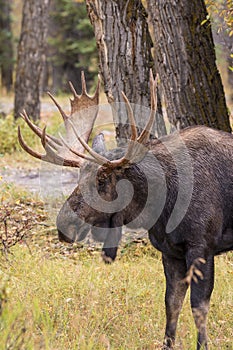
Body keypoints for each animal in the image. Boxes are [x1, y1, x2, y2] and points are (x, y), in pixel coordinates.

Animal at [18, 72, 233, 350]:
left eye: (101, 181)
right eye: (79, 176)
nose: (64, 225)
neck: (162, 207)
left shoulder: (202, 246)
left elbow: (199, 307)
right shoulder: (170, 252)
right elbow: (171, 304)